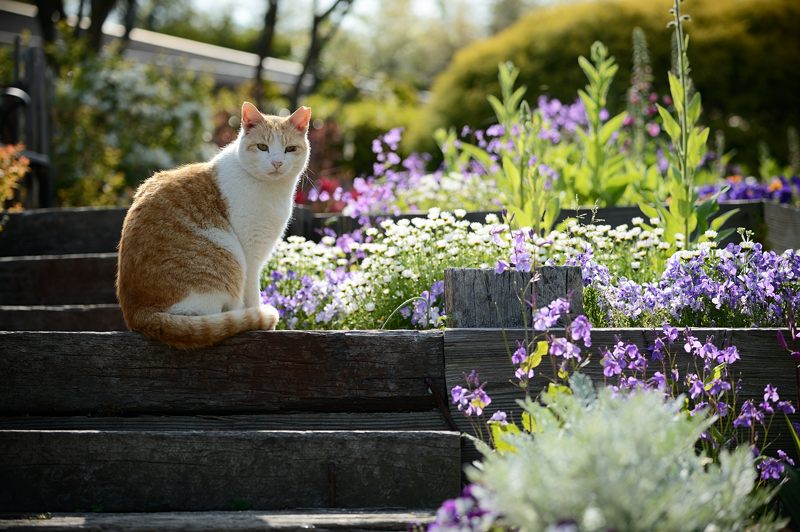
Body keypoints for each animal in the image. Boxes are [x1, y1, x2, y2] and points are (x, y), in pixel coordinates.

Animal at [117, 102, 310, 350]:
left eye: (290, 149)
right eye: (262, 147)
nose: (277, 163)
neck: (272, 190)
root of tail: (139, 314)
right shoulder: (251, 255)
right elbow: (252, 295)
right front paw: (259, 319)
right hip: (229, 258)